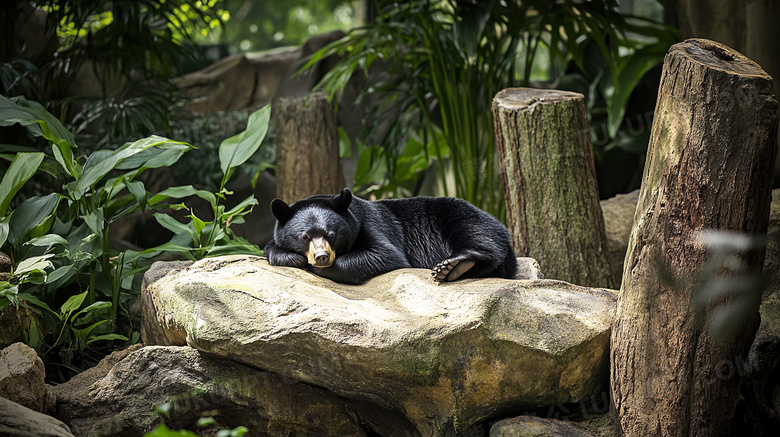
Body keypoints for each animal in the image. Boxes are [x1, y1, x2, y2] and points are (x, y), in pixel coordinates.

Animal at [266, 188, 516, 284]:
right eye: (305, 237)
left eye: (331, 234)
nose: (321, 257)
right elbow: (272, 248)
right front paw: (291, 257)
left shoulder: (373, 224)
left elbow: (385, 254)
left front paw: (319, 268)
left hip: (459, 216)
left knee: (478, 236)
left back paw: (452, 265)